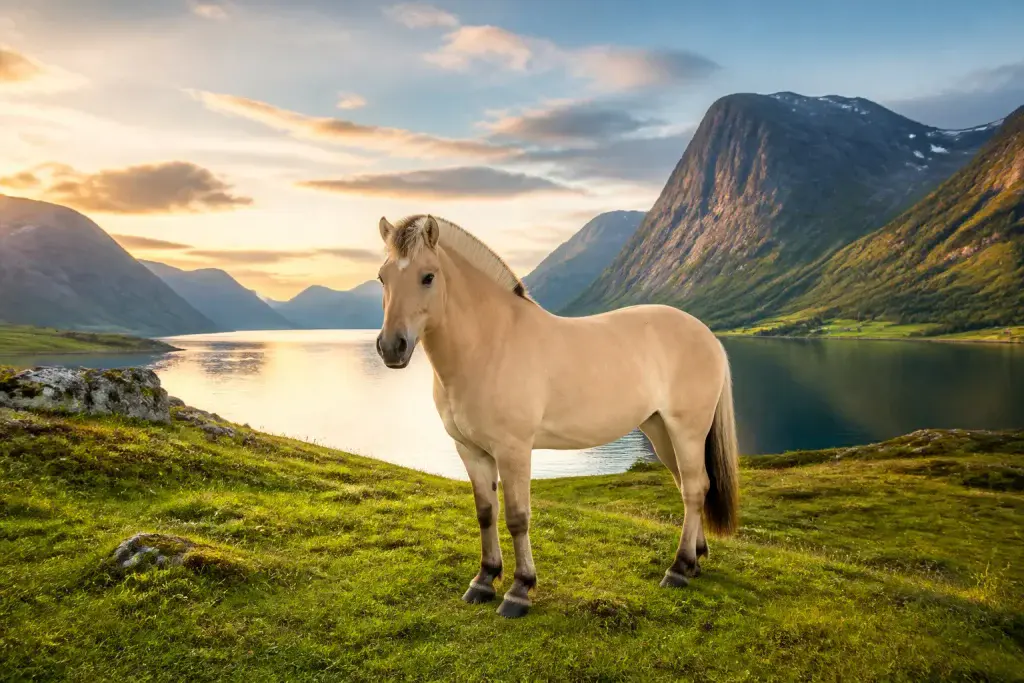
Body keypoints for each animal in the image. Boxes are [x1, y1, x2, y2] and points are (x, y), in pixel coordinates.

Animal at [374, 214, 740, 619]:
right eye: (382, 277)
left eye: (428, 276)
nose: (392, 347)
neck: (490, 343)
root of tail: (708, 335)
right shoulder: (470, 450)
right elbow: (486, 512)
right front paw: (483, 580)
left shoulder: (514, 450)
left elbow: (518, 517)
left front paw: (519, 590)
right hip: (661, 431)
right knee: (691, 485)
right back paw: (695, 560)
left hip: (687, 429)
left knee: (694, 489)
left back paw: (678, 568)